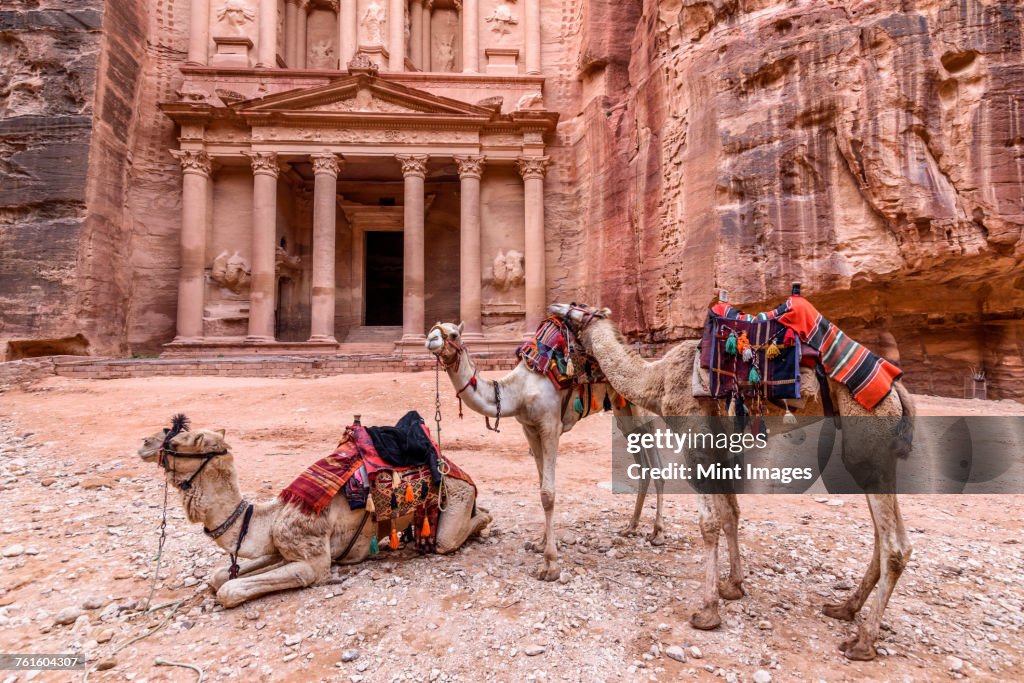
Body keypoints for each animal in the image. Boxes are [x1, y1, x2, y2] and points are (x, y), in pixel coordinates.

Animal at [138, 423, 489, 606]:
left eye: (180, 440)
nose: (144, 442)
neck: (270, 514)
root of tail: (453, 466)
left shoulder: (313, 559)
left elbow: (229, 590)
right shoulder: (282, 544)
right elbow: (220, 576)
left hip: (456, 495)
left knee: (453, 535)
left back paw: (480, 522)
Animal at [548, 301, 917, 663]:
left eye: (575, 314)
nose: (555, 308)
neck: (658, 380)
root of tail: (897, 390)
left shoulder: (694, 439)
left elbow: (709, 524)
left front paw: (708, 612)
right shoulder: (720, 446)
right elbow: (730, 515)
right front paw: (733, 587)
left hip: (867, 433)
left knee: (895, 545)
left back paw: (863, 641)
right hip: (877, 453)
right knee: (882, 536)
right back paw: (844, 608)